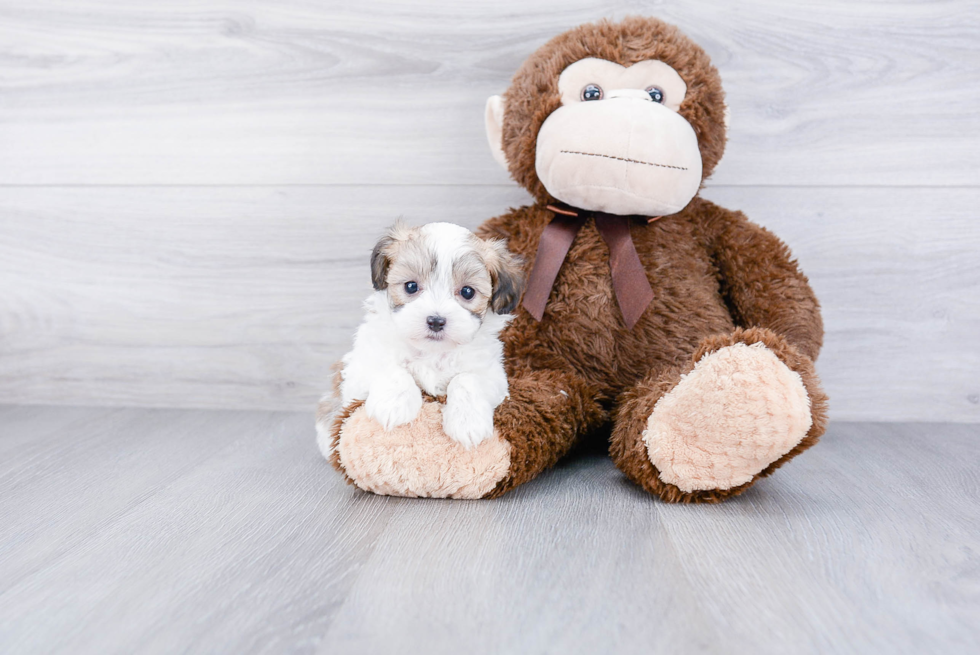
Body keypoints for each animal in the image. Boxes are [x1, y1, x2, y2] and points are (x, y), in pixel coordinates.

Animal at [336, 220, 520, 452]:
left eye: (467, 292)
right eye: (411, 286)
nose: (436, 321)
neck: (432, 353)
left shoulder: (493, 376)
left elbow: (465, 379)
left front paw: (467, 422)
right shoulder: (359, 369)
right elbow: (393, 368)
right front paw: (394, 404)